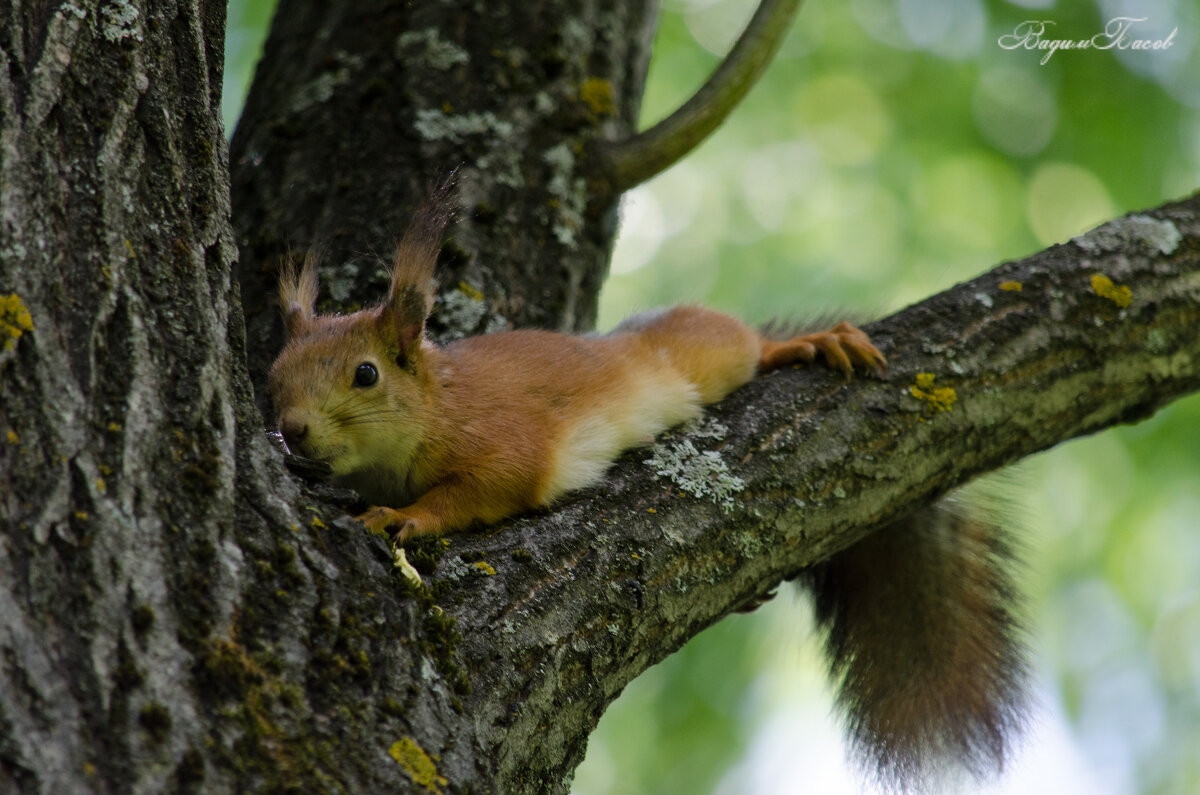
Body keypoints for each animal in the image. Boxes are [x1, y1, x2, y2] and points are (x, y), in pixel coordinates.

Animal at [270, 194, 1022, 792]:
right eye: (275, 374)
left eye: (366, 374)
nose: (291, 430)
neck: (432, 404)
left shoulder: (504, 442)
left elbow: (482, 488)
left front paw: (402, 516)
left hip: (706, 351)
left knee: (749, 346)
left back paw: (808, 343)